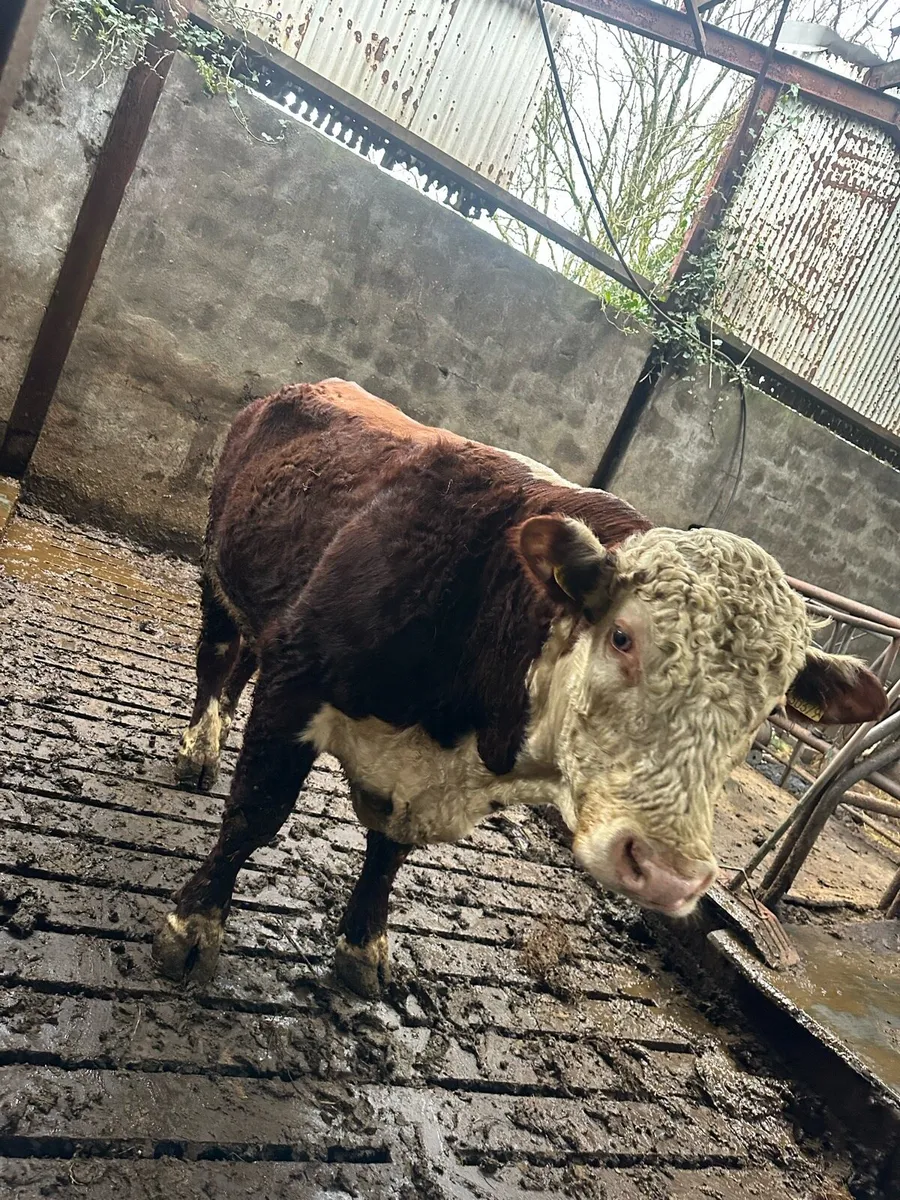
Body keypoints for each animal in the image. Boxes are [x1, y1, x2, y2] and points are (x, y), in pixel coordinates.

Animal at [152, 379, 887, 996]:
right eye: (622, 637)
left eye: (768, 709)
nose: (669, 872)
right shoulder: (298, 679)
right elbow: (256, 814)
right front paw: (193, 930)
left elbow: (388, 853)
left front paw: (363, 950)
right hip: (218, 569)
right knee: (218, 658)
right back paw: (199, 748)